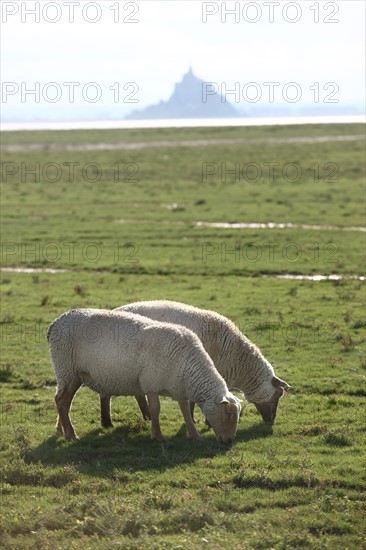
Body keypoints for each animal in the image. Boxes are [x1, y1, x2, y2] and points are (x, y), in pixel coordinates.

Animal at [47, 310, 242, 444]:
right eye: (227, 415)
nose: (228, 441)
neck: (189, 367)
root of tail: (56, 323)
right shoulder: (151, 384)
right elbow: (155, 409)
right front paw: (157, 436)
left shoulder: (179, 387)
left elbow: (186, 411)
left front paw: (194, 435)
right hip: (67, 370)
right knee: (62, 402)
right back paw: (71, 434)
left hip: (70, 373)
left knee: (62, 401)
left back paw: (63, 430)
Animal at [113, 302, 288, 426]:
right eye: (277, 396)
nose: (271, 421)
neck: (237, 360)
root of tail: (116, 309)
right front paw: (203, 421)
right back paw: (148, 415)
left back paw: (147, 416)